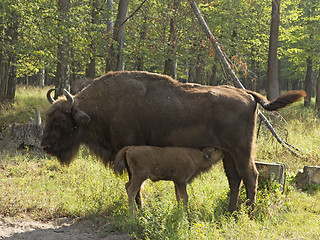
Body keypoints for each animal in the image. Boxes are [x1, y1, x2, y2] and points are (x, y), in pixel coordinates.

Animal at [40, 70, 304, 213]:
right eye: (47, 116)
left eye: (61, 121)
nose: (44, 146)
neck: (104, 107)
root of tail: (248, 94)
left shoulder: (129, 151)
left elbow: (135, 185)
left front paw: (139, 209)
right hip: (227, 152)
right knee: (234, 179)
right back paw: (231, 211)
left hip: (242, 150)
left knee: (250, 176)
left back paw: (248, 212)